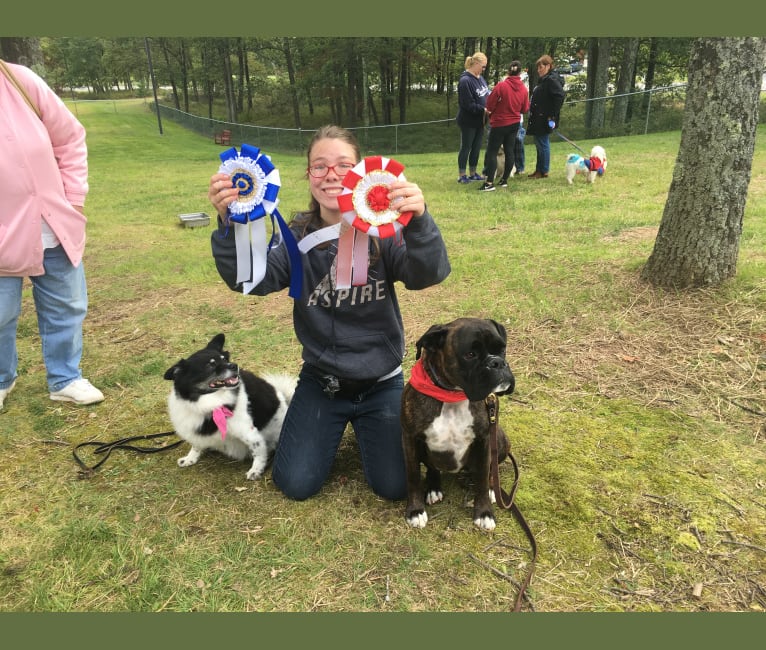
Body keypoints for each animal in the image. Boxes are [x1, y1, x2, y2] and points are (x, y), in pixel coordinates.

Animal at [165, 334, 296, 476]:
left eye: (224, 359)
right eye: (210, 365)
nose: (234, 365)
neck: (209, 402)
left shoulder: (249, 433)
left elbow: (258, 451)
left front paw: (256, 470)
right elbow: (196, 445)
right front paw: (190, 458)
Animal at [402, 316, 516, 528]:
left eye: (502, 349)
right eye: (470, 354)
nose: (497, 362)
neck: (453, 394)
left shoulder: (484, 439)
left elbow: (482, 478)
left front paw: (484, 512)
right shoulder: (410, 439)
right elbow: (413, 476)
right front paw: (415, 510)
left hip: (499, 439)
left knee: (490, 470)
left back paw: (491, 488)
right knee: (433, 468)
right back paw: (433, 488)